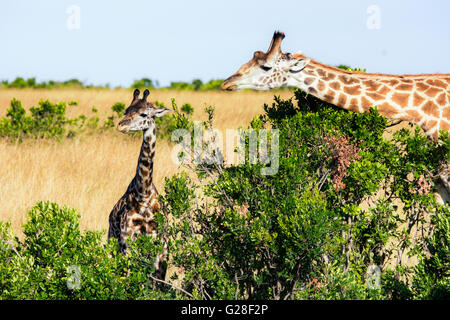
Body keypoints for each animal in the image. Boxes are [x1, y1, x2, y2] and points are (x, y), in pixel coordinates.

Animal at [109, 87, 171, 278]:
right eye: (126, 111)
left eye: (144, 114)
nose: (121, 125)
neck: (143, 193)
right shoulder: (128, 243)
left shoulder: (162, 247)